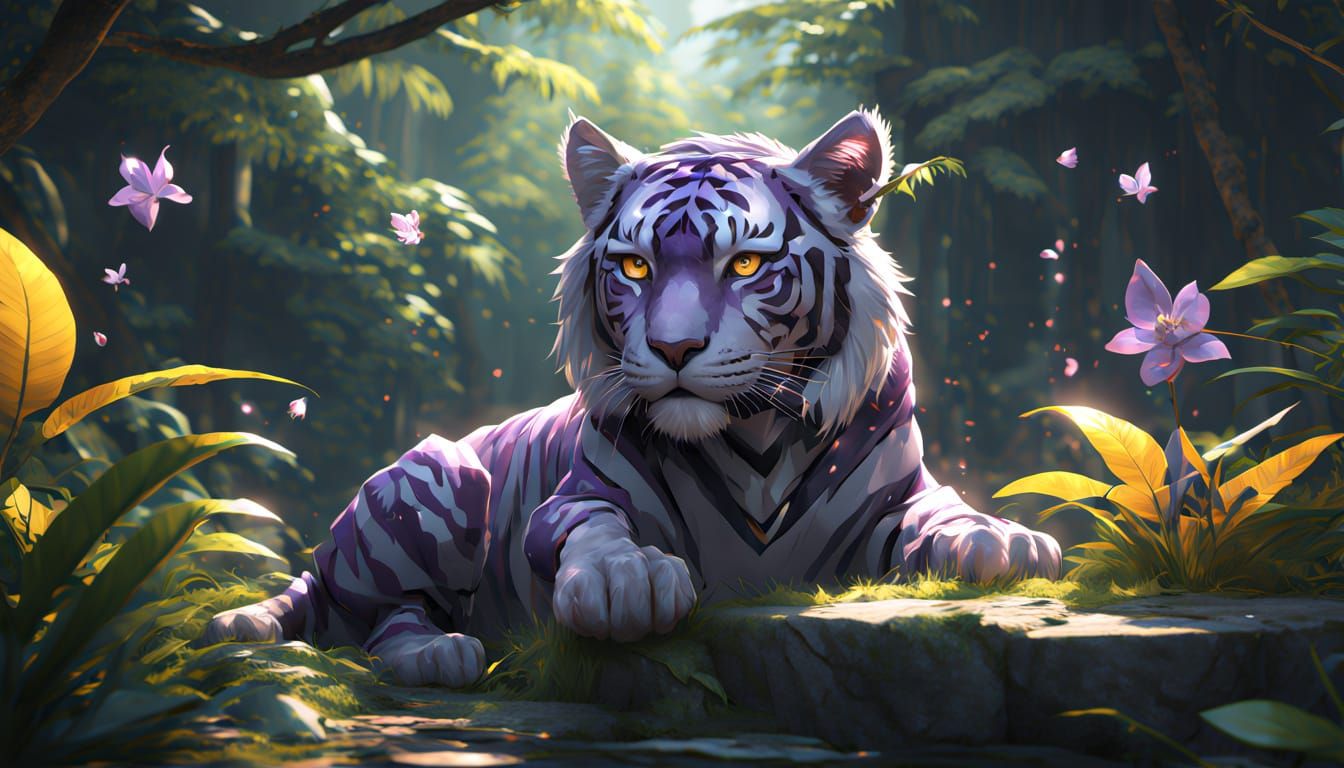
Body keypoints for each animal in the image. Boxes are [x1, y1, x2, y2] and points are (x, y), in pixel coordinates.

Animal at [204, 109, 1062, 687]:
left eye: (746, 264)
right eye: (636, 267)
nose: (675, 349)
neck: (758, 440)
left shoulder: (892, 502)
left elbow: (940, 513)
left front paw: (1003, 539)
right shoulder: (574, 499)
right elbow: (598, 533)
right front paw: (629, 581)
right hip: (442, 477)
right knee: (383, 619)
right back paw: (437, 652)